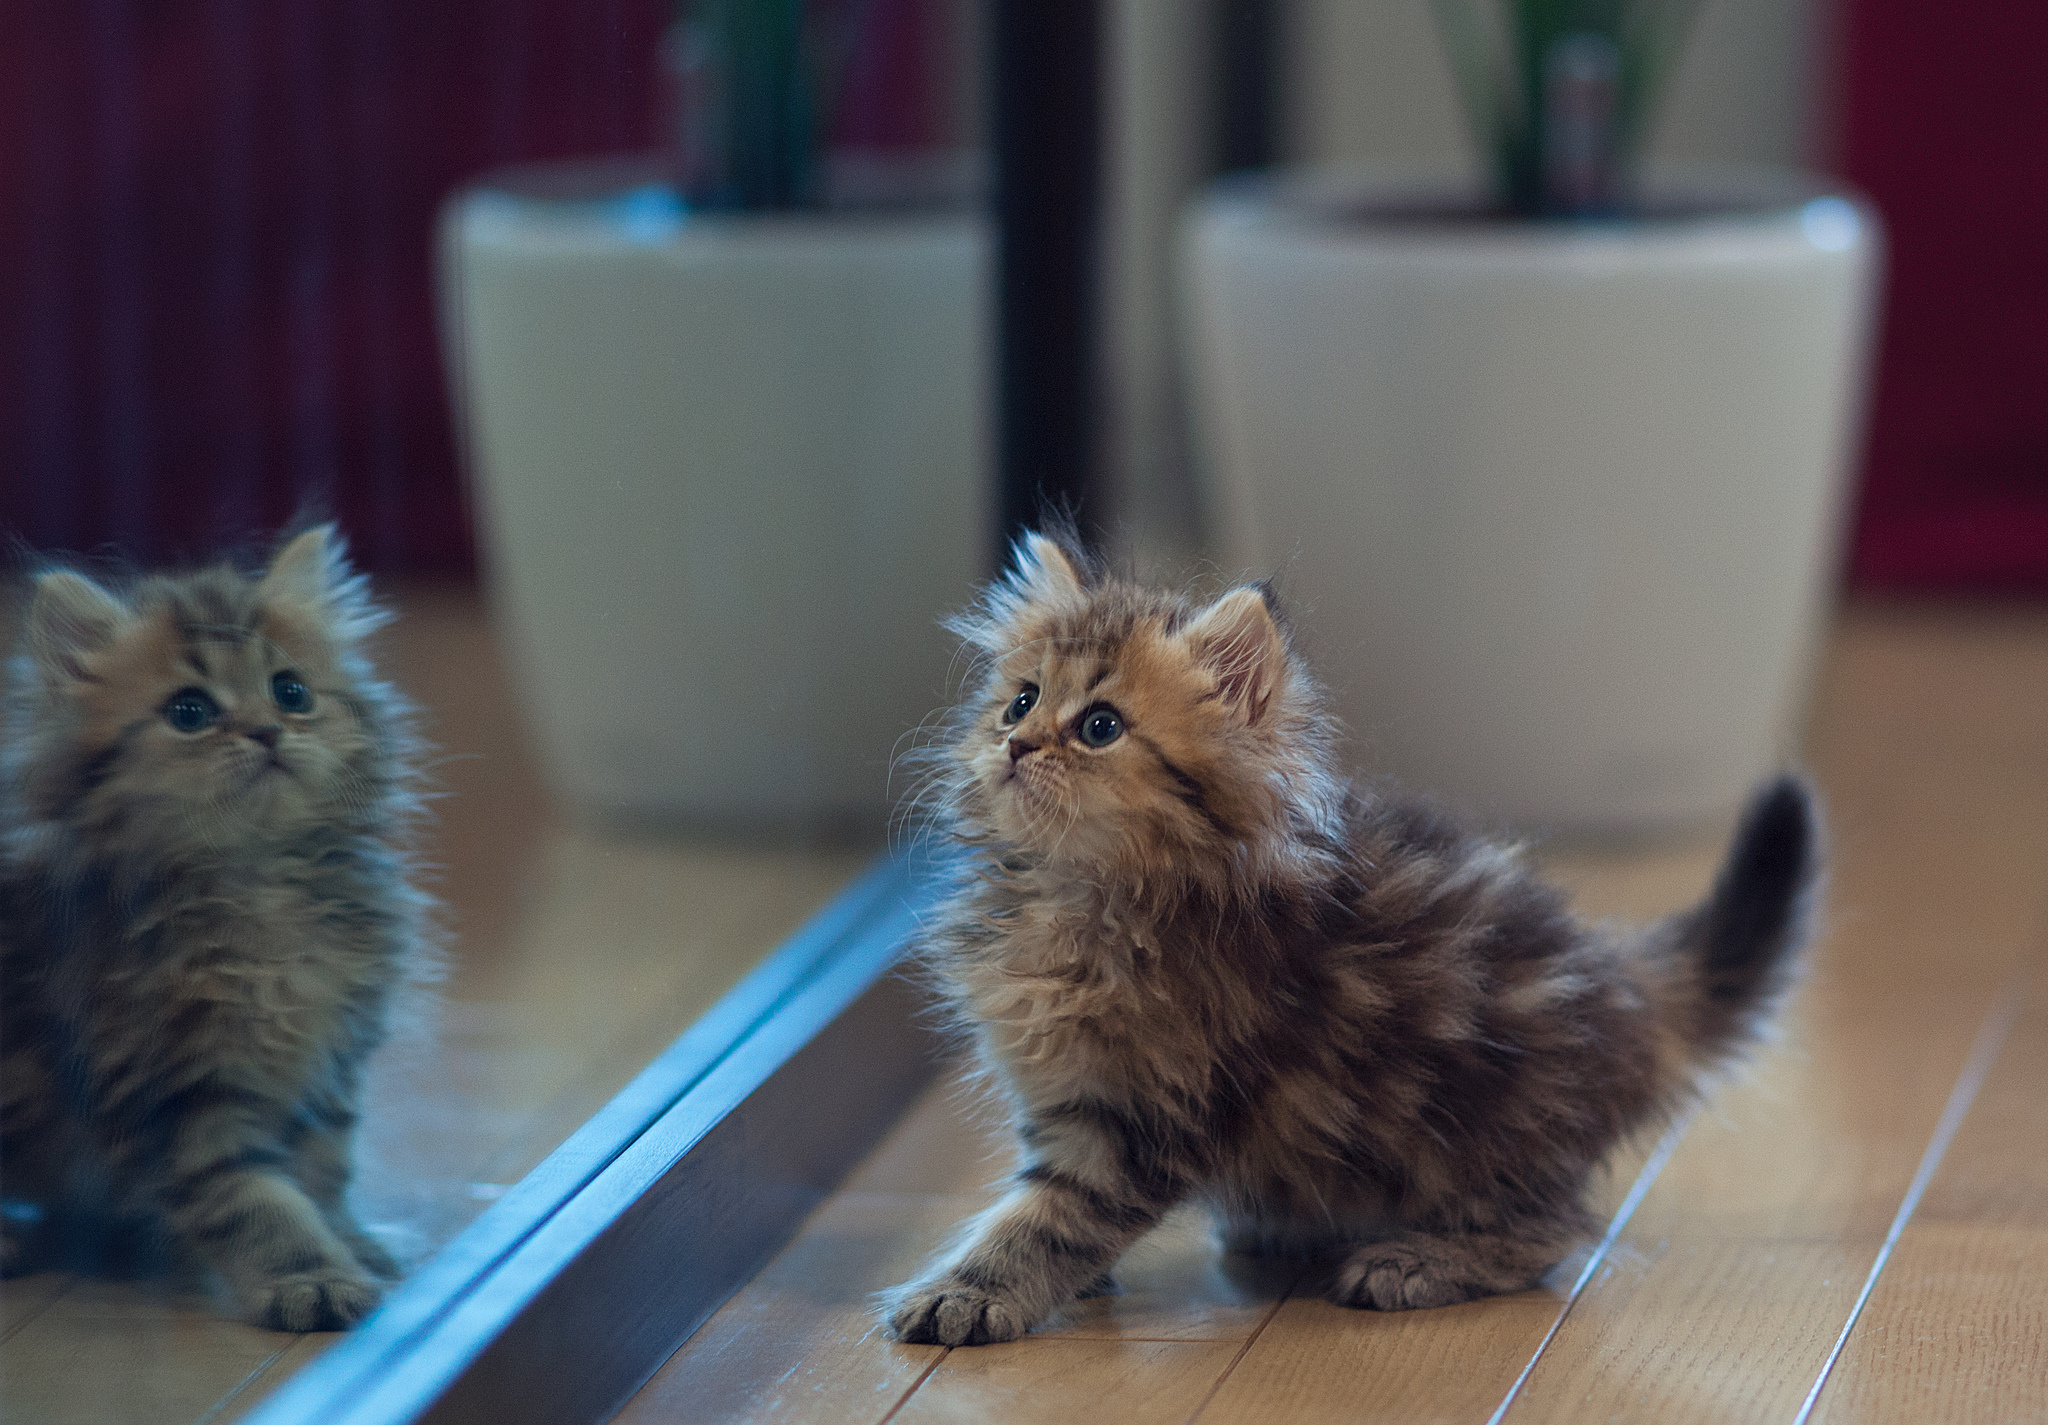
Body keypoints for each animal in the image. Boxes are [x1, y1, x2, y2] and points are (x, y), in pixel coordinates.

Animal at [0, 524, 432, 1334]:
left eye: (291, 692)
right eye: (190, 712)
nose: (265, 732)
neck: (258, 886)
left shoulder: (328, 1059)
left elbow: (324, 1168)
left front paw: (352, 1239)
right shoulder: (178, 1085)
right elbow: (251, 1198)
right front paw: (310, 1276)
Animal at [888, 528, 1818, 1343]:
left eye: (1100, 727)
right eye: (1019, 700)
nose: (1016, 744)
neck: (1071, 894)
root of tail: (1620, 985)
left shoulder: (1146, 1106)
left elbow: (1048, 1217)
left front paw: (970, 1293)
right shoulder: (1061, 1091)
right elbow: (1039, 1192)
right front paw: (1067, 1285)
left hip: (1479, 1116)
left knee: (1553, 1231)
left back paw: (1417, 1260)